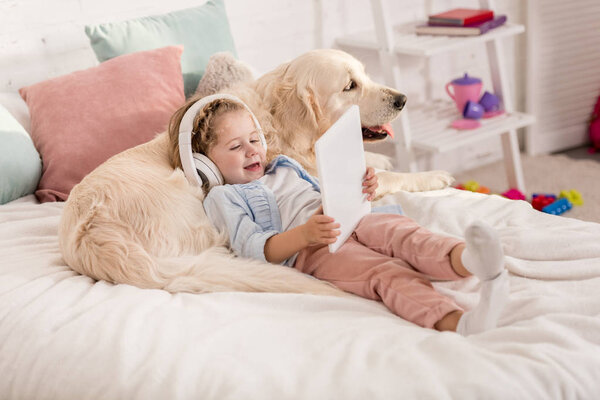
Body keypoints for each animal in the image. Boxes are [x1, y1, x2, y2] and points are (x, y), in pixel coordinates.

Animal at [61, 48, 452, 296]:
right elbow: (389, 178)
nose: (402, 99)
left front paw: (379, 163)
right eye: (349, 86)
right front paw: (433, 175)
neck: (277, 123)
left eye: (366, 75)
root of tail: (92, 240)